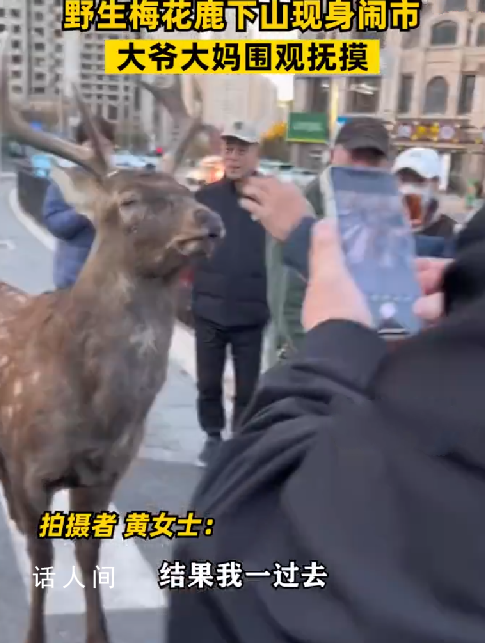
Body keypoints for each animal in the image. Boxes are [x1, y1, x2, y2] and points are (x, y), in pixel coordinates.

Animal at [0, 34, 224, 643]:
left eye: (183, 186)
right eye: (128, 202)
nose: (210, 221)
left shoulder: (105, 472)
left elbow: (89, 557)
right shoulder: (26, 465)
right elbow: (40, 557)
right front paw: (34, 635)